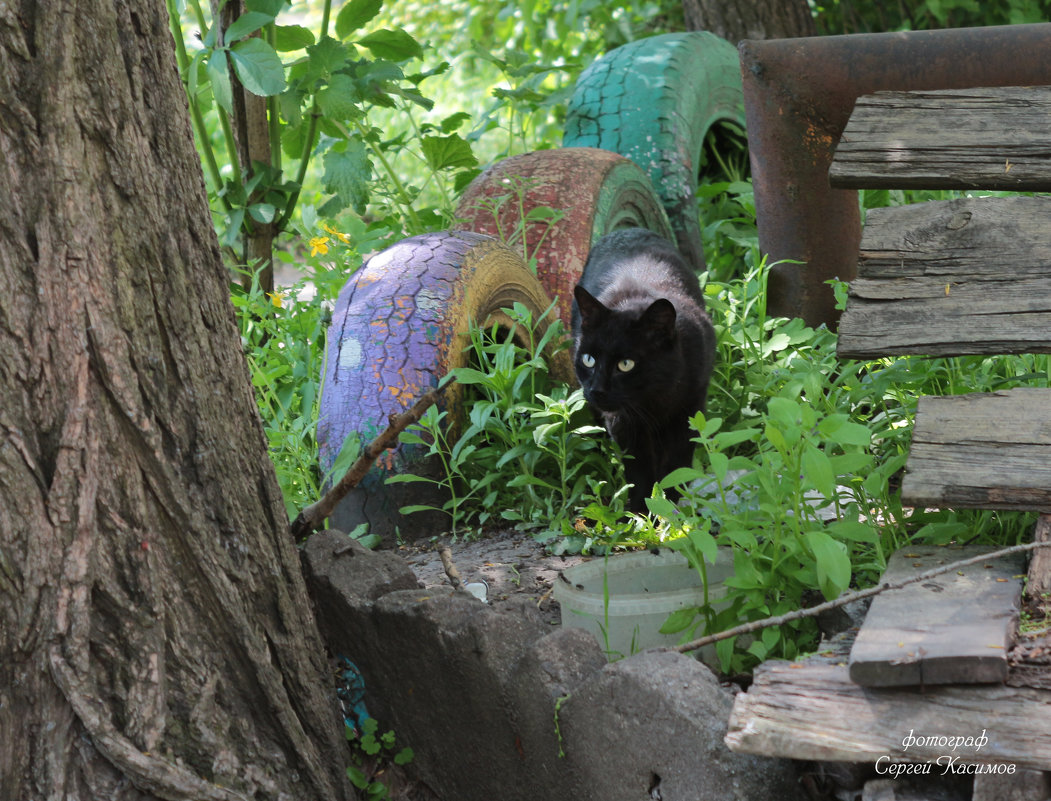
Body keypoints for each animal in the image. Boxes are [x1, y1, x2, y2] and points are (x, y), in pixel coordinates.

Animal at [575, 228, 714, 508]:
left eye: (626, 364)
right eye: (588, 360)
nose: (596, 390)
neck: (655, 399)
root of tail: (628, 229)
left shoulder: (688, 410)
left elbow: (676, 464)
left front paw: (670, 506)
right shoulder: (624, 424)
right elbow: (639, 471)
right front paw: (642, 510)